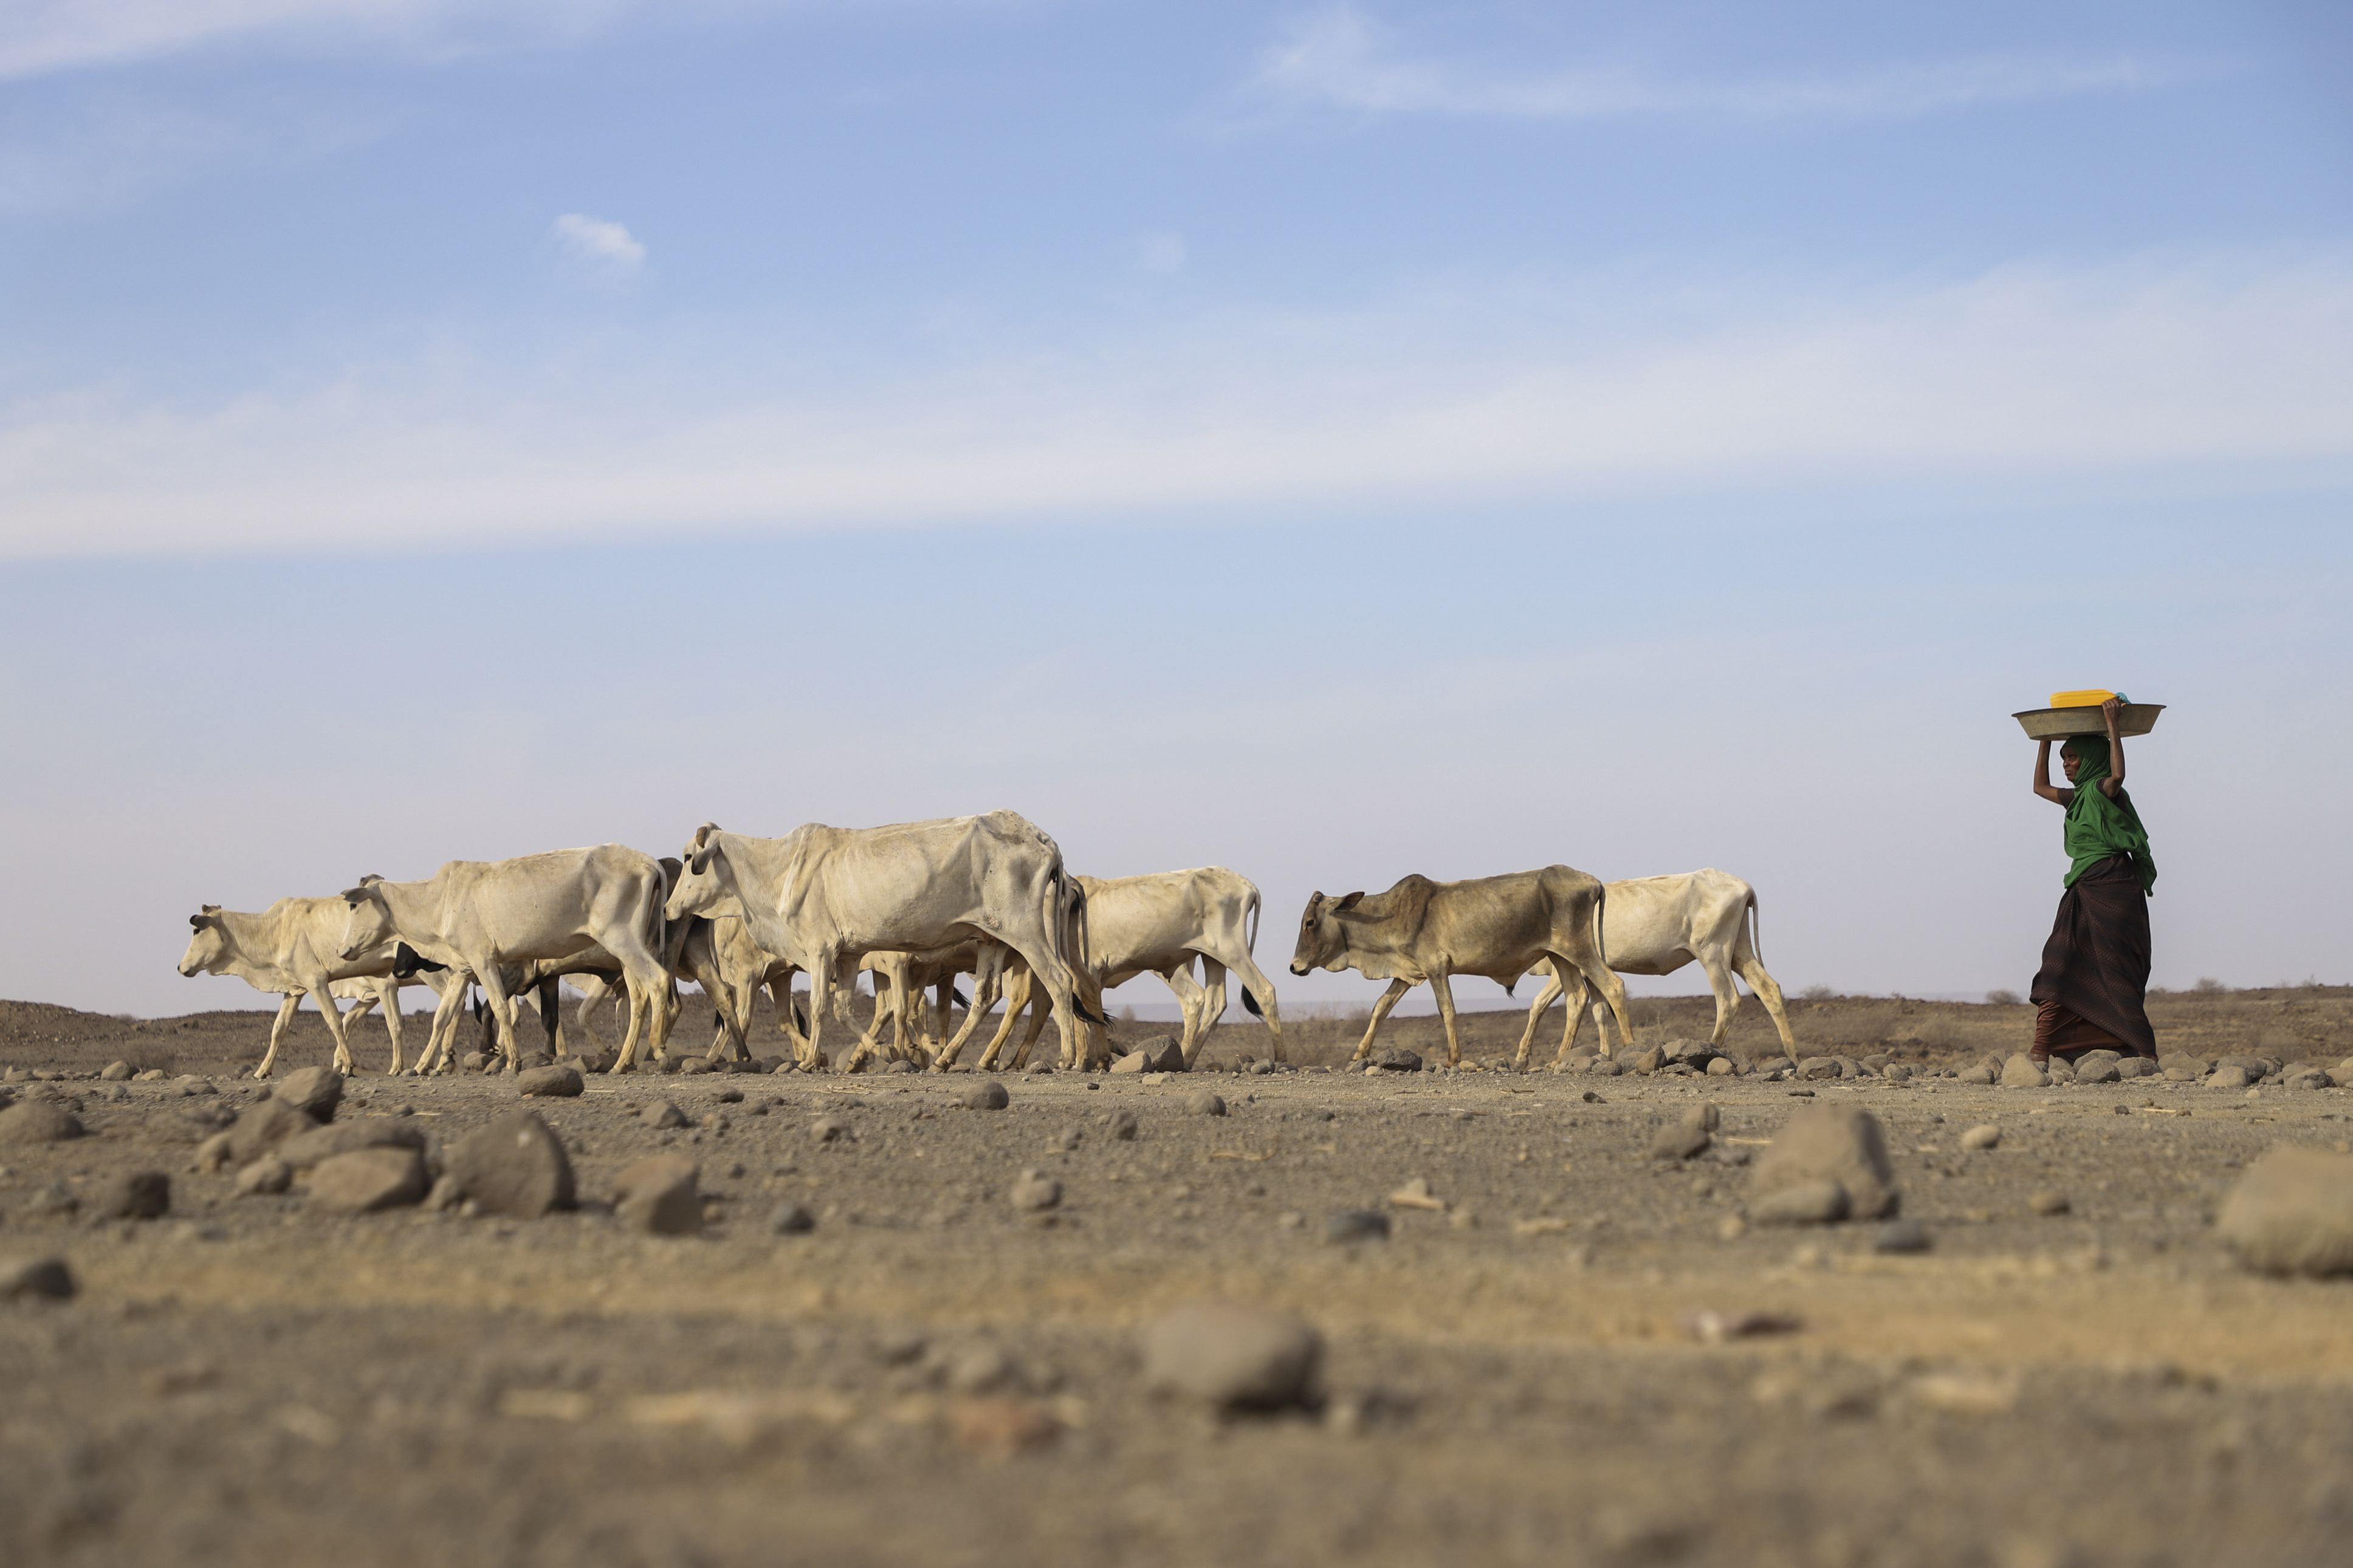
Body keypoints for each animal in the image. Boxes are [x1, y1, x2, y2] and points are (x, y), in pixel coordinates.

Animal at [336, 846, 678, 1081]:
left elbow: (499, 1009)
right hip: (626, 949)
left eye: (353, 906)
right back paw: (622, 1062)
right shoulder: (463, 969)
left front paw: (512, 1062)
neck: (438, 900)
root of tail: (649, 862)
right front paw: (421, 1066)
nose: (341, 949)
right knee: (639, 995)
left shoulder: (485, 961)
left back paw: (658, 1052)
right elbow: (442, 1017)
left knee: (658, 981)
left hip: (622, 940)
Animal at [663, 809, 1101, 1081]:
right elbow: (847, 1009)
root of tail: (1043, 839)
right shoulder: (849, 955)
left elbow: (821, 1007)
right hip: (991, 937)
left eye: (687, 858)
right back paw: (945, 1058)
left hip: (1026, 932)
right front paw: (884, 1053)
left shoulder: (820, 950)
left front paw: (810, 1061)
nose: (667, 908)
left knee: (1059, 982)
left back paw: (1068, 1058)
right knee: (987, 996)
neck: (779, 869)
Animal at [1515, 865, 1788, 1072]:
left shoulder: (1571, 968)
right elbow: (1600, 1011)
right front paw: (1604, 1055)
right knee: (1769, 988)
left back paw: (1710, 1049)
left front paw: (1523, 1058)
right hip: (1739, 951)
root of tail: (1744, 886)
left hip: (1713, 953)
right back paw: (1792, 1053)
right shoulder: (1591, 973)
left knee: (1728, 999)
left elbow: (1539, 1004)